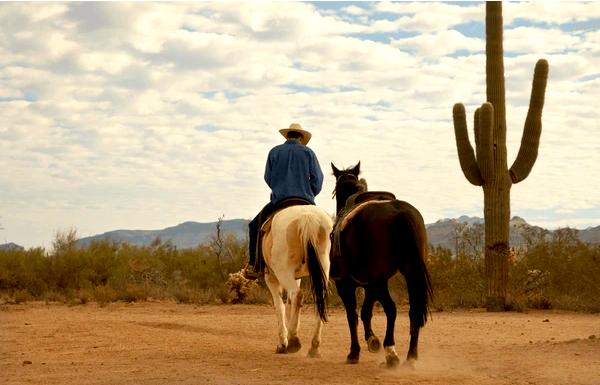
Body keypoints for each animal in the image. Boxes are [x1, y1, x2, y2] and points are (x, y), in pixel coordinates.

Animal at [262, 204, 332, 356]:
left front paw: (283, 343)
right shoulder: (296, 277)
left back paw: (293, 340)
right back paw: (314, 346)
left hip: (283, 272)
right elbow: (289, 305)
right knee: (318, 297)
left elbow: (280, 307)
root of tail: (306, 217)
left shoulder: (271, 279)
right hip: (323, 267)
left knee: (296, 294)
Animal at [330, 161, 434, 366]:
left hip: (378, 280)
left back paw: (391, 351)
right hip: (409, 272)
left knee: (391, 309)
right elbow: (365, 311)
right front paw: (371, 341)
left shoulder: (345, 285)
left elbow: (353, 315)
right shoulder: (371, 283)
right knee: (413, 312)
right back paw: (411, 355)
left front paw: (355, 351)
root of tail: (400, 212)